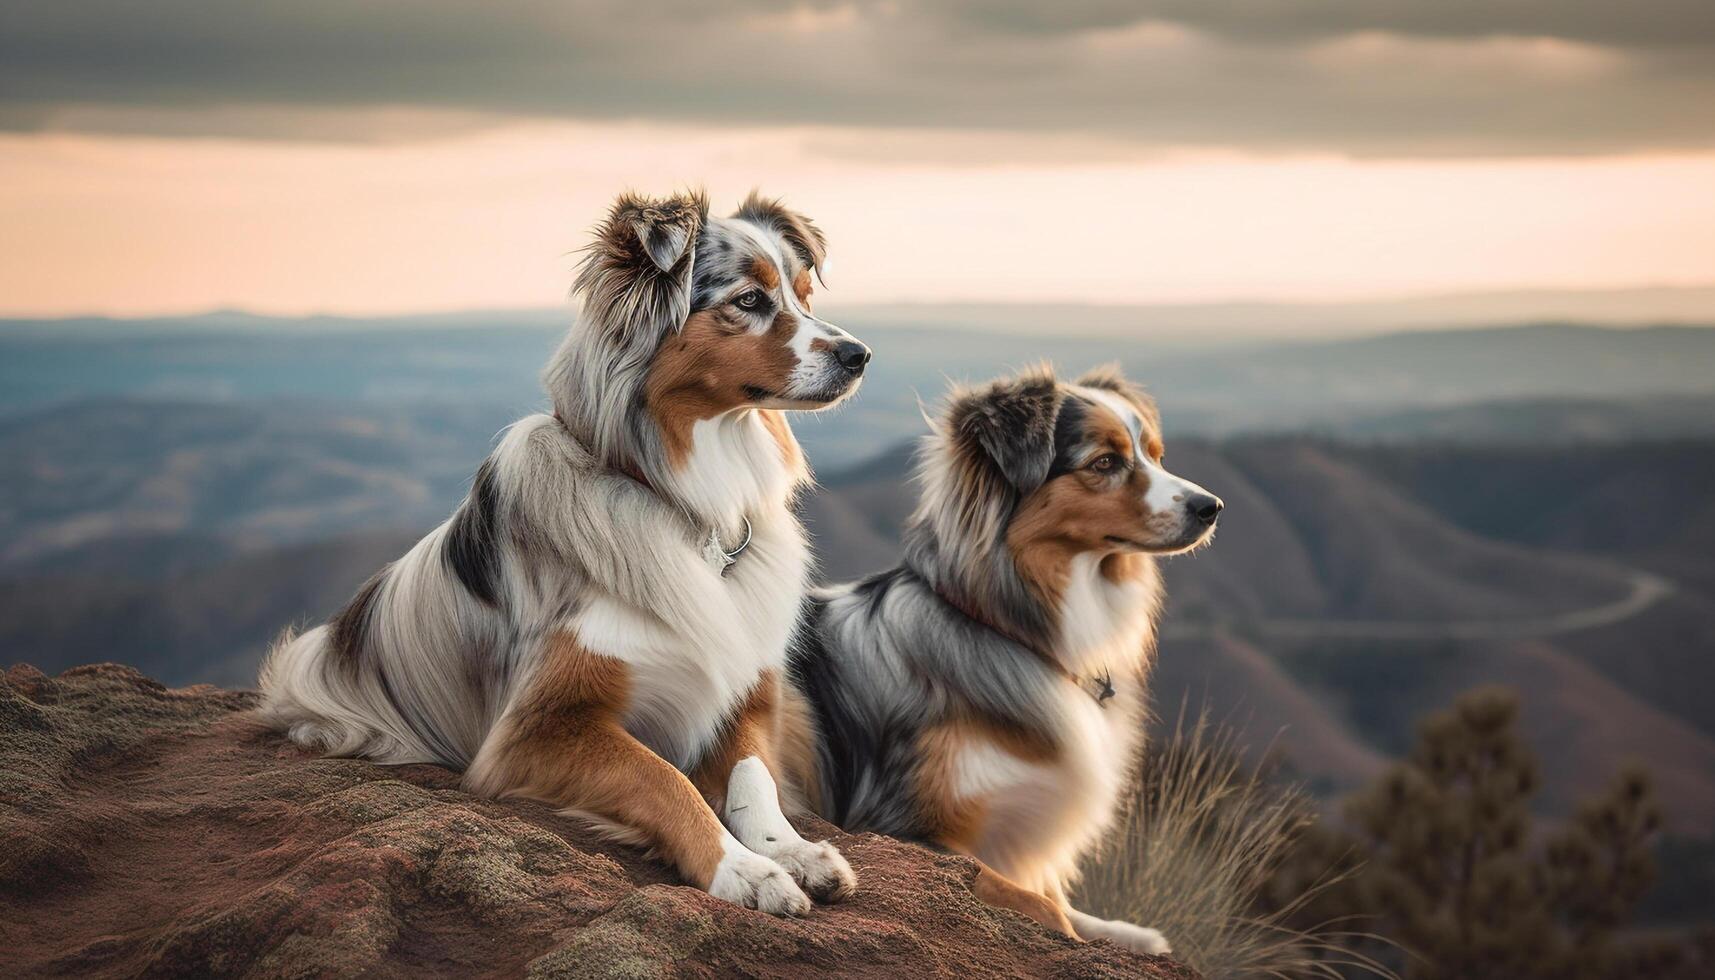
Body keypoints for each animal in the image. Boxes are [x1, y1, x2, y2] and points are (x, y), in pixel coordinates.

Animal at [778, 362, 1221, 954]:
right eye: (1105, 462)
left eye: (1156, 454)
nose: (1211, 507)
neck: (1005, 632)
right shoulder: (901, 828)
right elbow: (1040, 904)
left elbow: (1056, 898)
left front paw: (1124, 933)